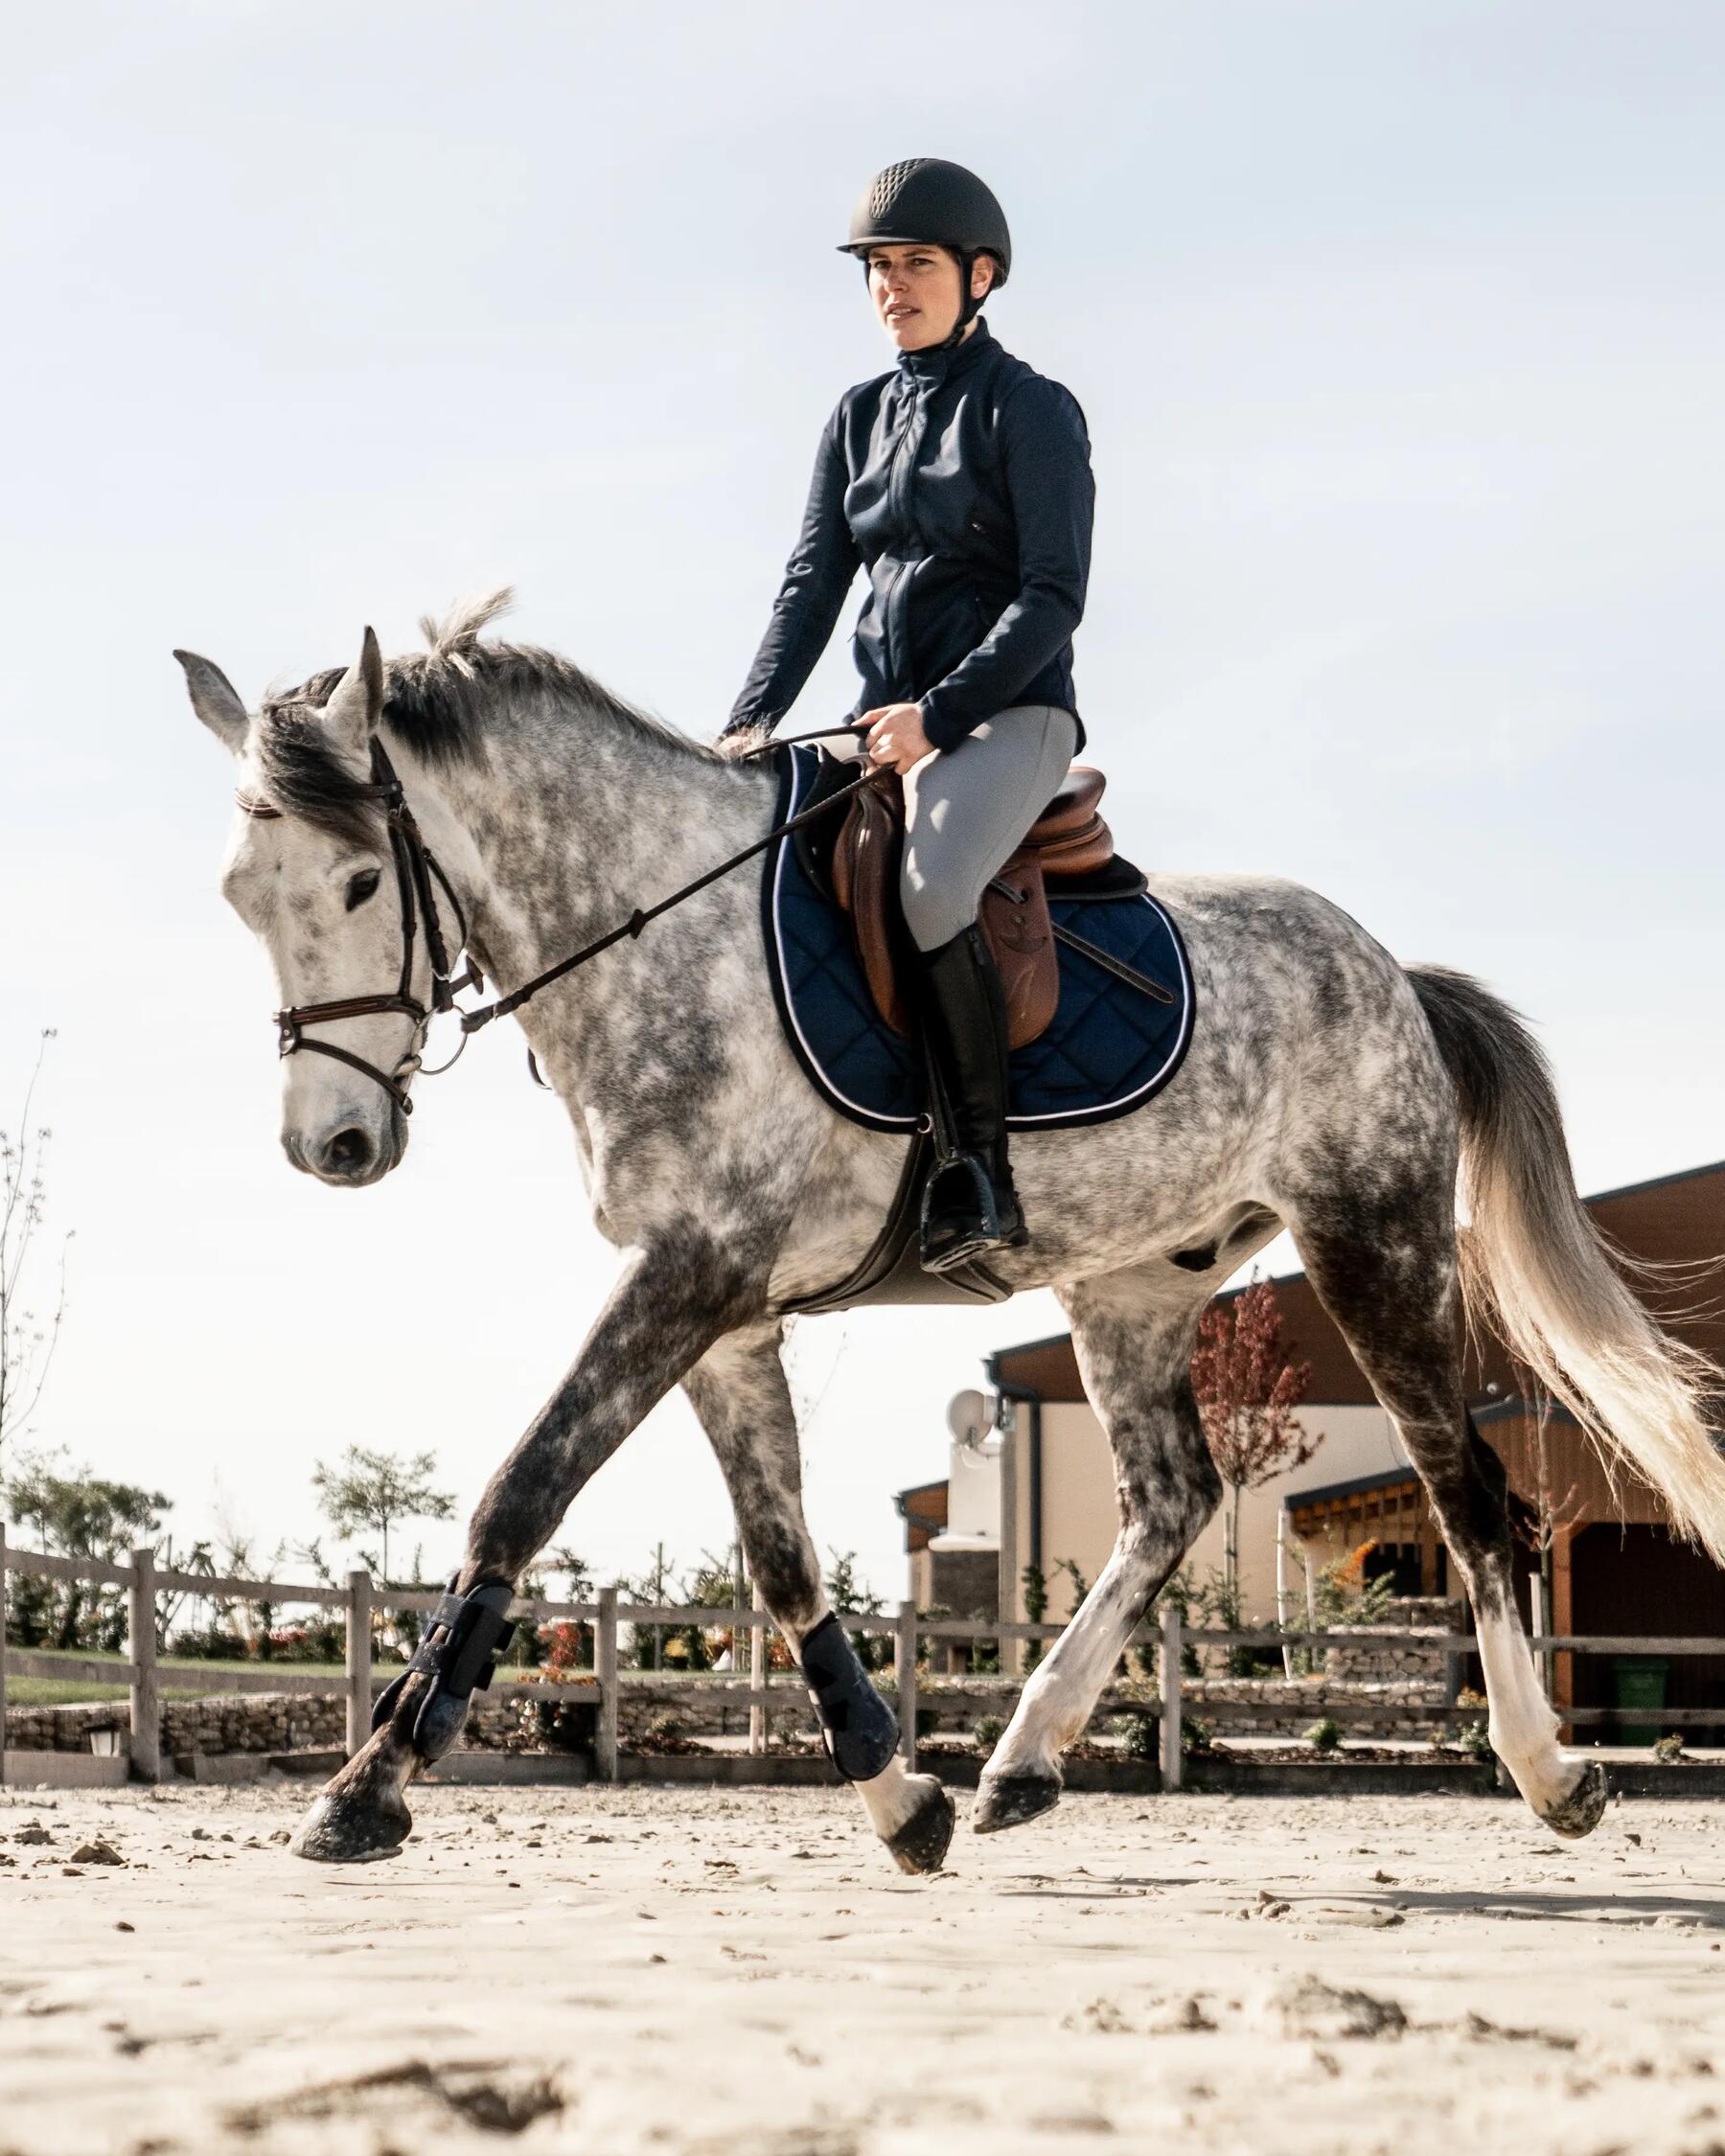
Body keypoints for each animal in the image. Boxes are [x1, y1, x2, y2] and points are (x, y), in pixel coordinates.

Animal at [178, 590, 1725, 1871]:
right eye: (240, 900)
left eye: (363, 884)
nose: (332, 1146)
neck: (653, 935)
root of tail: (1393, 970)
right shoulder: (722, 1310)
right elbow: (782, 1553)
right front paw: (899, 1793)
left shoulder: (687, 1274)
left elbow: (522, 1489)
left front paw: (369, 1784)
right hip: (1133, 1285)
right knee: (1171, 1502)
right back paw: (1020, 1762)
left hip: (1374, 1244)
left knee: (1467, 1496)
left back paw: (1553, 1773)